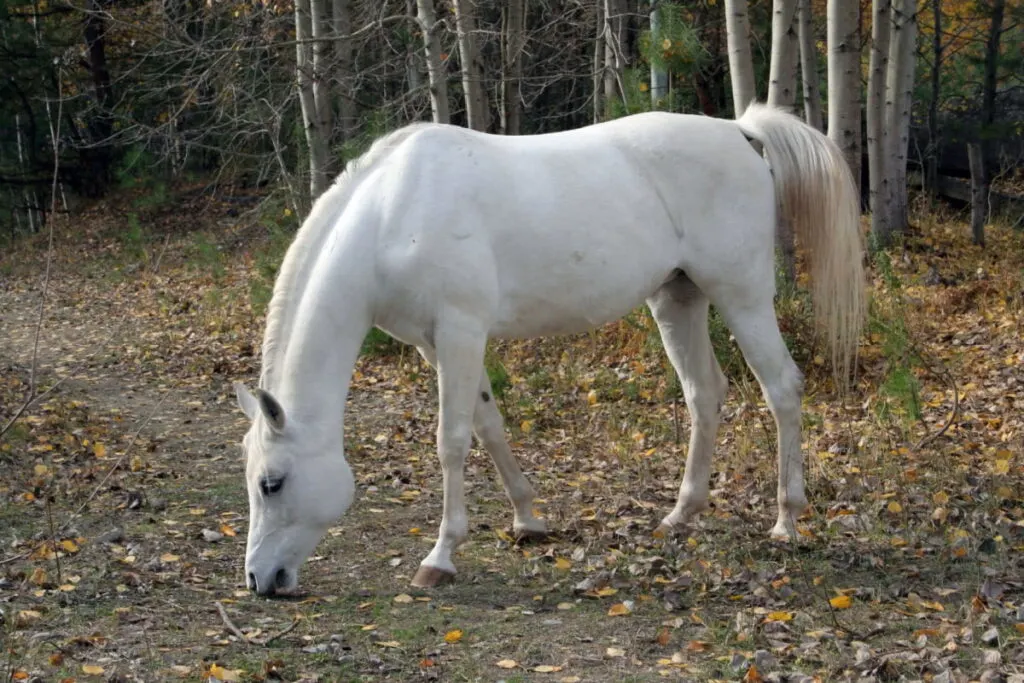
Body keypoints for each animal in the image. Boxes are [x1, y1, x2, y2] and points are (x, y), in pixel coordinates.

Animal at [234, 104, 864, 593]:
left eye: (272, 483)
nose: (261, 580)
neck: (394, 214)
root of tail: (740, 131)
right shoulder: (438, 346)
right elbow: (488, 424)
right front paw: (527, 519)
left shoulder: (460, 333)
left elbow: (452, 441)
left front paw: (440, 557)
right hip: (677, 298)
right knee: (704, 393)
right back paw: (680, 515)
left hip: (742, 294)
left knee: (781, 389)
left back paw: (786, 521)